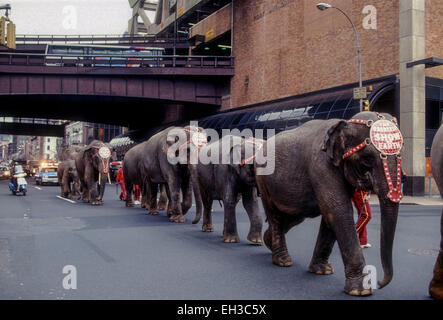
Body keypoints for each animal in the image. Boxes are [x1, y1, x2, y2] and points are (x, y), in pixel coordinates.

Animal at [256, 111, 406, 296]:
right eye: (367, 159)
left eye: (401, 154)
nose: (379, 282)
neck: (345, 123)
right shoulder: (321, 166)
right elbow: (337, 210)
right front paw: (361, 290)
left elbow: (330, 215)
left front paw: (322, 271)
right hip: (263, 180)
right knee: (275, 215)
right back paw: (283, 261)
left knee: (293, 216)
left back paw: (268, 241)